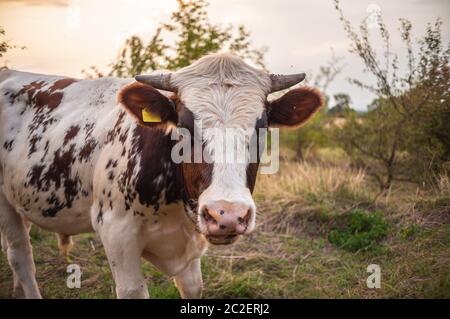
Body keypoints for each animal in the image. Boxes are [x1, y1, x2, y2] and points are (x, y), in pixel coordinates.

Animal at [0, 53, 324, 298]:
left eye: (262, 126)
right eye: (184, 124)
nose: (227, 215)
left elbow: (192, 287)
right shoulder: (116, 234)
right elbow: (133, 290)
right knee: (21, 256)